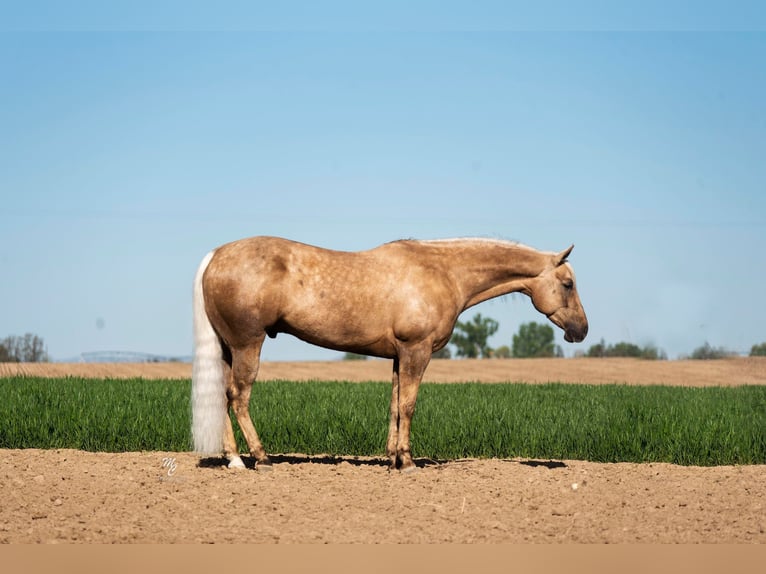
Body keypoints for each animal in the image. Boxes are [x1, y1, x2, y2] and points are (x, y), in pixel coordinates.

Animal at [190, 236, 588, 474]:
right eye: (567, 284)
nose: (581, 330)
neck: (442, 272)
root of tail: (216, 255)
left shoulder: (399, 356)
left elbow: (395, 404)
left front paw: (392, 458)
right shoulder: (417, 350)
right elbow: (409, 405)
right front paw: (408, 462)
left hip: (229, 348)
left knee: (223, 397)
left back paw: (234, 460)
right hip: (248, 344)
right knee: (238, 396)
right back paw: (260, 458)